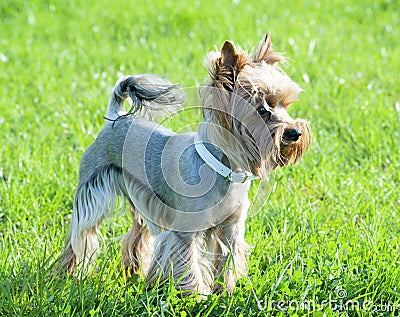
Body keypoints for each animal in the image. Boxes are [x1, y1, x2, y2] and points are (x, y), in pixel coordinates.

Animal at [60, 32, 310, 294]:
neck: (224, 169)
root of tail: (115, 119)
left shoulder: (231, 229)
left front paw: (225, 293)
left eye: (286, 106)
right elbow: (189, 267)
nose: (295, 132)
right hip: (92, 190)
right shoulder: (185, 231)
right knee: (81, 234)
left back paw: (135, 274)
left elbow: (226, 263)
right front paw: (198, 297)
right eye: (261, 110)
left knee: (137, 235)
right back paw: (69, 273)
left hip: (140, 199)